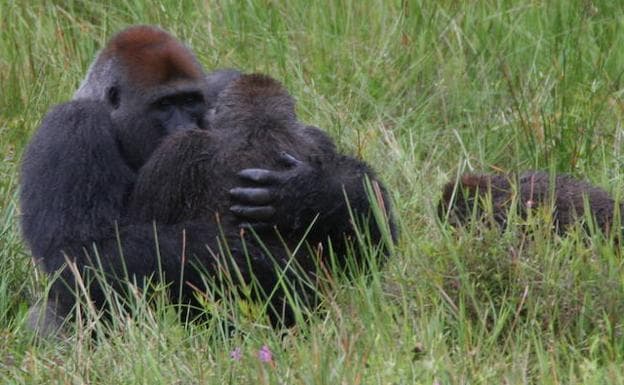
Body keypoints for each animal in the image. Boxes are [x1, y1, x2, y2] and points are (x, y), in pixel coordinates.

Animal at [22, 26, 398, 332]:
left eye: (190, 101)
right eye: (164, 105)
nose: (184, 126)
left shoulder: (219, 90)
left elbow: (375, 239)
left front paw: (313, 193)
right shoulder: (69, 129)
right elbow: (82, 257)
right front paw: (243, 254)